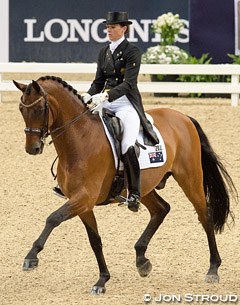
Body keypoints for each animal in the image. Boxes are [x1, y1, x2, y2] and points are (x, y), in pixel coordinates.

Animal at [13, 76, 236, 294]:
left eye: (39, 109)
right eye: (21, 109)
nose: (32, 148)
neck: (80, 138)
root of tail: (183, 117)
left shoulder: (84, 198)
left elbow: (53, 218)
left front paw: (31, 257)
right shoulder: (82, 204)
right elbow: (95, 240)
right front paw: (102, 280)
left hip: (190, 178)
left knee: (204, 215)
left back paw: (213, 269)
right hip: (143, 186)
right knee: (161, 209)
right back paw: (142, 260)